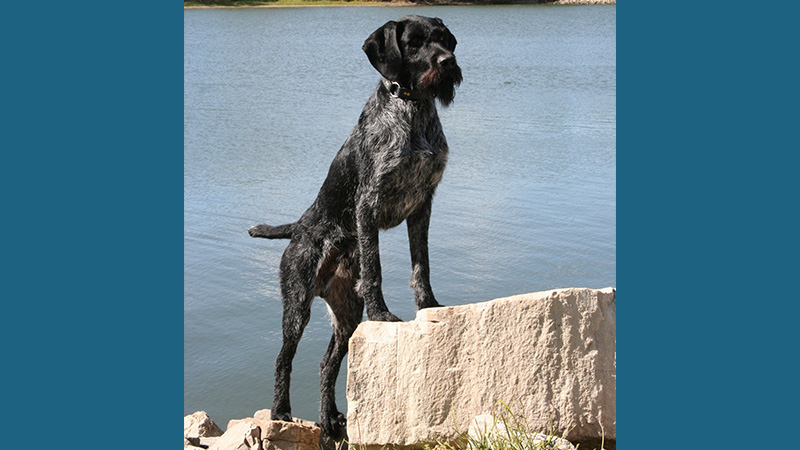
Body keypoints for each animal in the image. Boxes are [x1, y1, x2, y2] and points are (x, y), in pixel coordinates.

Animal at [250, 15, 462, 438]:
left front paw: (428, 304)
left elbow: (422, 264)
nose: (447, 62)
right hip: (297, 305)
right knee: (284, 359)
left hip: (346, 313)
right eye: (414, 43)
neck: (412, 110)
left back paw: (329, 419)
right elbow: (374, 267)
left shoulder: (423, 205)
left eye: (444, 40)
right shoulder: (368, 204)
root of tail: (297, 227)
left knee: (327, 363)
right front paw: (382, 314)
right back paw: (281, 411)